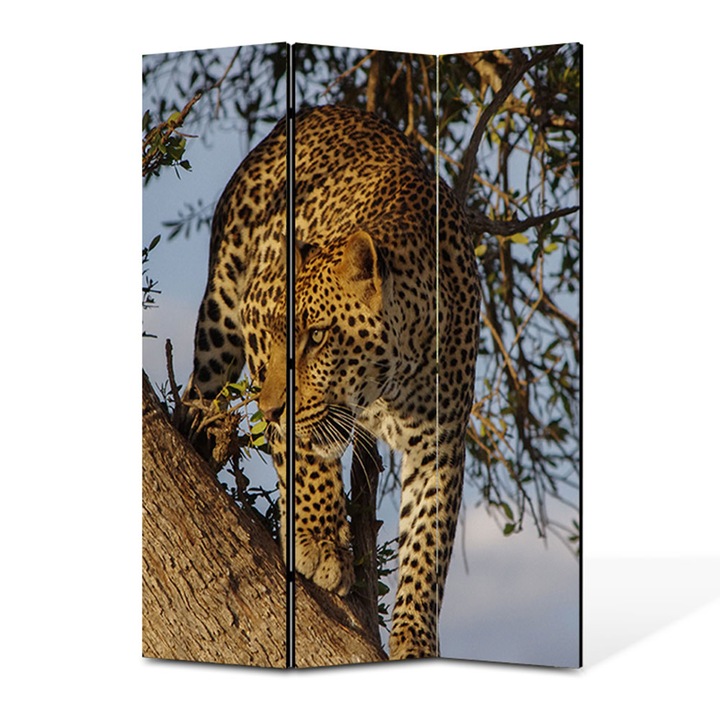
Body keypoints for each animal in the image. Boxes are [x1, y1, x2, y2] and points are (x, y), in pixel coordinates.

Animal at [188, 104, 481, 660]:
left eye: (319, 336)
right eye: (276, 333)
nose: (271, 408)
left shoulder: (442, 441)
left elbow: (427, 541)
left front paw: (414, 636)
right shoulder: (256, 326)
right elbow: (303, 458)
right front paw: (319, 542)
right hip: (220, 313)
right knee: (199, 391)